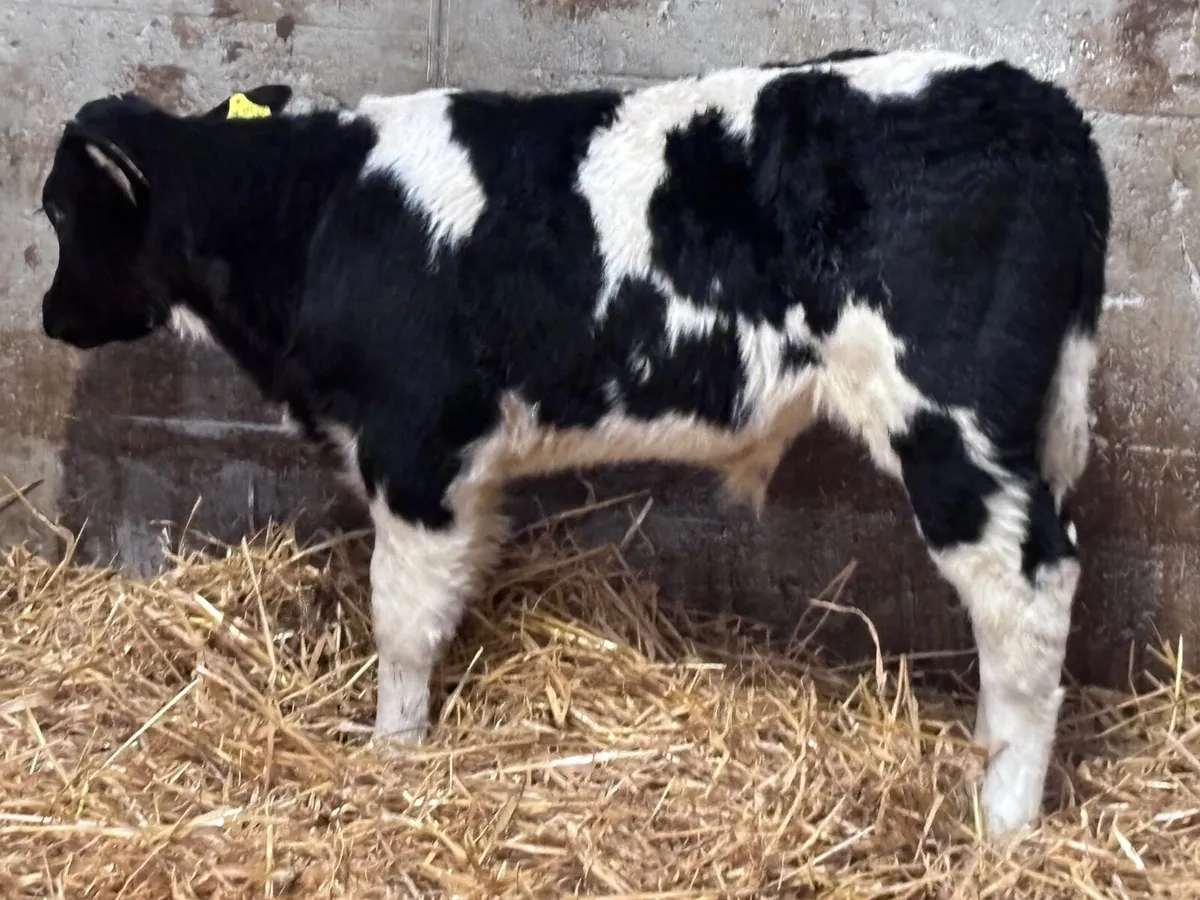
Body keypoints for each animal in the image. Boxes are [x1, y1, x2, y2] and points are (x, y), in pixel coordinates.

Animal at [37, 48, 1111, 841]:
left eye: (57, 208)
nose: (47, 317)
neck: (315, 213)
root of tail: (1041, 105)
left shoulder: (415, 448)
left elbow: (400, 621)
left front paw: (392, 753)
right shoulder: (465, 471)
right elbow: (454, 590)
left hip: (949, 419)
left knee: (1028, 588)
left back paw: (1003, 819)